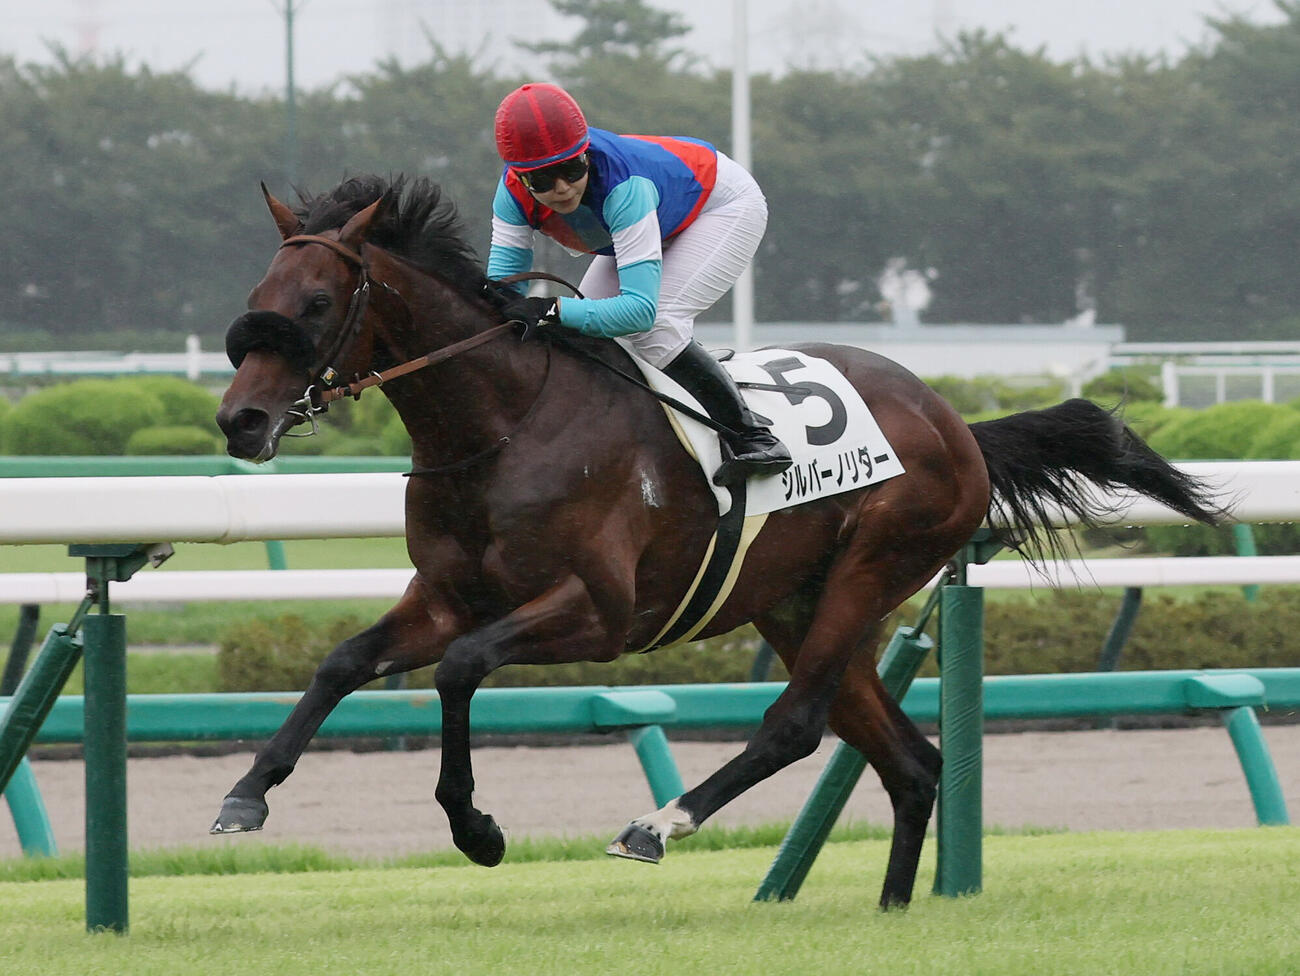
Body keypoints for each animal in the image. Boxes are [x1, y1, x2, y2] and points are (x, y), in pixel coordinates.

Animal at [213, 174, 1225, 908]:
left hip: (873, 569)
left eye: (314, 303)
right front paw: (247, 793)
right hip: (795, 601)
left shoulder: (598, 613)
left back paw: (659, 824)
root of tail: (956, 424)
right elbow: (345, 661)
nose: (239, 421)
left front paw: (478, 830)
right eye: (257, 294)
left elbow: (459, 668)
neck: (504, 424)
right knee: (909, 761)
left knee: (796, 724)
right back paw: (895, 908)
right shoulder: (447, 595)